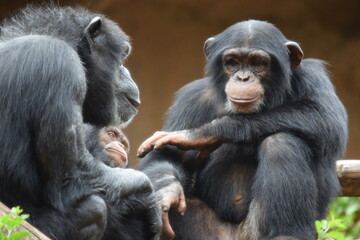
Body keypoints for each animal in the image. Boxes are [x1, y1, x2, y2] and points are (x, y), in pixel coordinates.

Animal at [0, 4, 160, 240]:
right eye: (123, 56)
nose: (127, 71)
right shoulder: (63, 66)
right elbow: (73, 175)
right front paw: (149, 195)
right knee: (95, 209)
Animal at [137, 19, 346, 239]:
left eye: (257, 63)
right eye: (232, 62)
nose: (243, 78)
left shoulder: (314, 78)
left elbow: (326, 117)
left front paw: (201, 134)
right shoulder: (192, 99)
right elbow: (166, 156)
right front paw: (168, 192)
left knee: (280, 142)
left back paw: (286, 234)